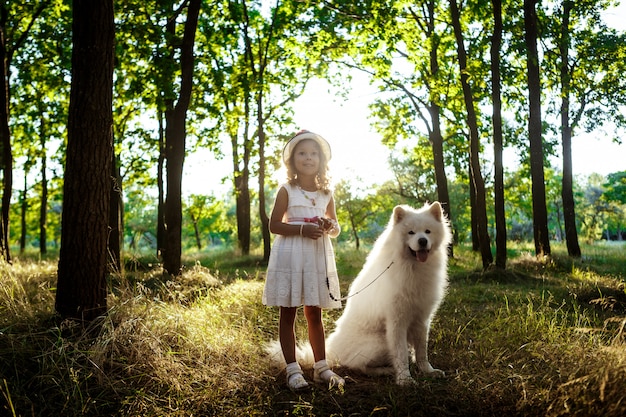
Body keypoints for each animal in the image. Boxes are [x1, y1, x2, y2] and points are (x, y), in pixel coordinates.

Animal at [324, 202, 450, 384]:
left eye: (427, 231)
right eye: (411, 232)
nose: (422, 241)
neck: (413, 268)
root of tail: (332, 350)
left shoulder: (422, 319)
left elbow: (421, 351)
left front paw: (428, 371)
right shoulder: (397, 322)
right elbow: (401, 354)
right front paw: (405, 379)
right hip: (379, 343)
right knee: (359, 366)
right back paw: (386, 370)